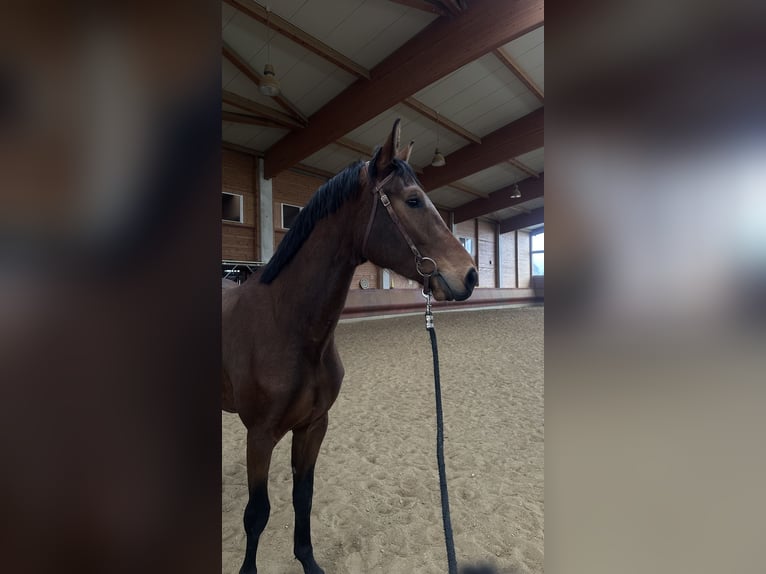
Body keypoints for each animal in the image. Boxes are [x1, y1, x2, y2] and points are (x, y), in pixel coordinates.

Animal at [222, 119, 478, 574]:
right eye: (414, 200)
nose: (469, 275)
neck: (287, 326)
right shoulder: (260, 435)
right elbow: (257, 514)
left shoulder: (313, 427)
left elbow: (302, 497)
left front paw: (308, 560)